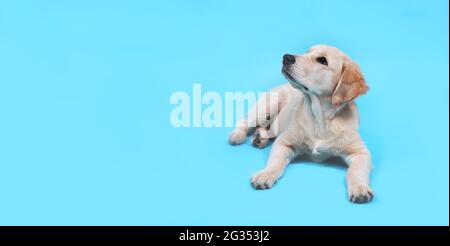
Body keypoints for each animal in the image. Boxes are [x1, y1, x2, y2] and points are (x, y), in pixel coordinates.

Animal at [229, 44, 372, 204]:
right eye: (307, 52)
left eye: (322, 60)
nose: (286, 57)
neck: (320, 119)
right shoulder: (283, 142)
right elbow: (274, 162)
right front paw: (265, 174)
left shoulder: (361, 152)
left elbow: (355, 171)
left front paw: (360, 188)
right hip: (267, 106)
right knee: (244, 121)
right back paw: (237, 136)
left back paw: (260, 138)